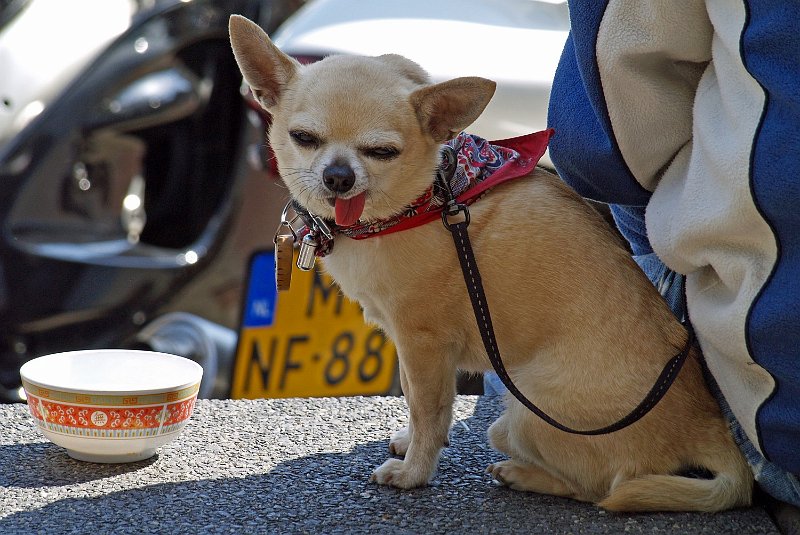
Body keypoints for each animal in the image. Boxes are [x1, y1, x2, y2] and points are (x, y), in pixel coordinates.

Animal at [228, 14, 752, 512]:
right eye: (303, 138)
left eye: (382, 152)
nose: (338, 176)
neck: (424, 198)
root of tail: (709, 426)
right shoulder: (409, 346)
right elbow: (415, 401)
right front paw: (409, 441)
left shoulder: (423, 343)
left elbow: (429, 408)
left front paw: (415, 470)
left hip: (518, 419)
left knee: (600, 488)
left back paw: (522, 474)